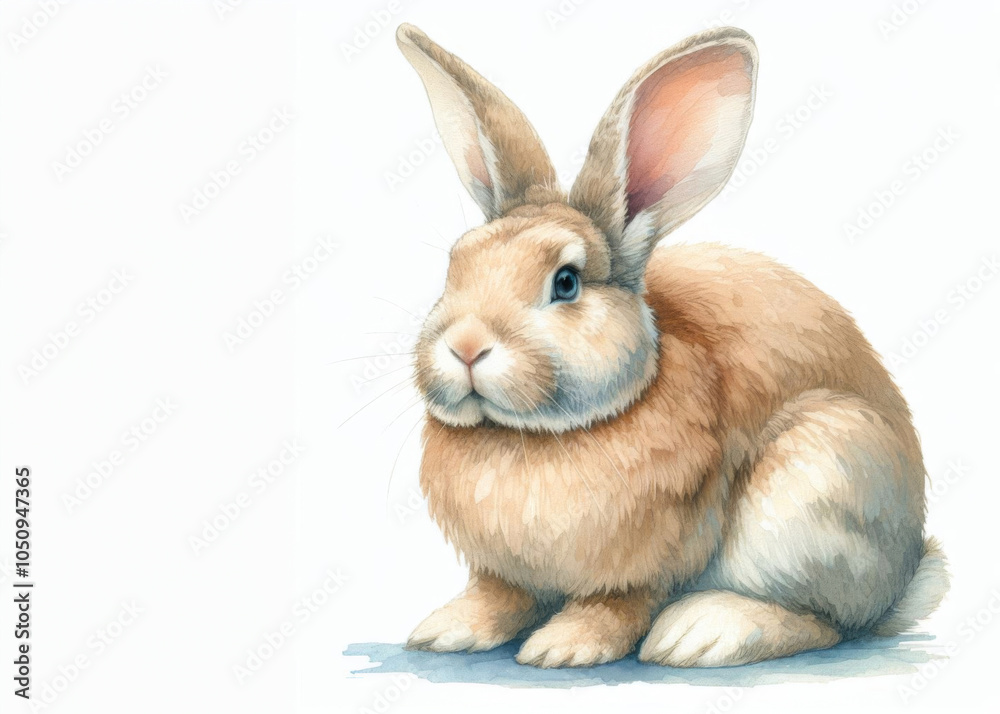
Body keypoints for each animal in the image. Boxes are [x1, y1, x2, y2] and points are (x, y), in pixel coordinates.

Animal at [394, 23, 949, 668]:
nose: (465, 346)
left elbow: (620, 603)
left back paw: (704, 631)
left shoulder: (656, 559)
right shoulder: (502, 571)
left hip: (817, 482)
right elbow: (499, 594)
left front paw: (566, 645)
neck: (530, 439)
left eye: (566, 282)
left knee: (830, 622)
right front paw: (447, 629)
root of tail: (906, 572)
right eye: (455, 264)